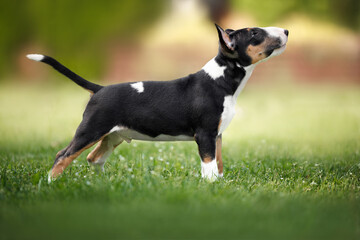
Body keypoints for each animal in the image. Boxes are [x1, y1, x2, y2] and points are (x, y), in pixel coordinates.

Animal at [26, 24, 288, 182]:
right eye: (254, 34)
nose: (286, 31)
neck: (221, 79)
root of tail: (99, 88)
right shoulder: (205, 134)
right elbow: (209, 164)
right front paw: (210, 187)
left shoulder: (218, 135)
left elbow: (219, 162)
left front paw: (220, 185)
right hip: (91, 129)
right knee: (63, 155)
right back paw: (51, 184)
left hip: (113, 136)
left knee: (94, 158)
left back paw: (100, 183)